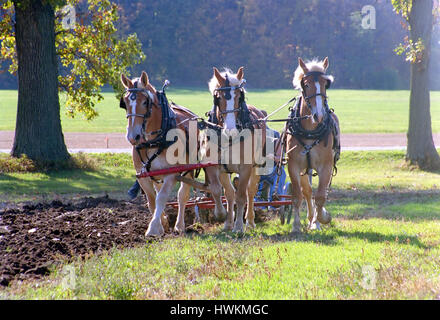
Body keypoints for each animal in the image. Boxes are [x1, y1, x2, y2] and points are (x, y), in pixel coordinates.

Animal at [286, 57, 340, 232]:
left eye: (325, 84)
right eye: (306, 84)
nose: (319, 115)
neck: (310, 130)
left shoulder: (326, 166)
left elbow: (321, 196)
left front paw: (321, 218)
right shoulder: (294, 165)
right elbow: (298, 195)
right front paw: (296, 226)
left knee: (319, 192)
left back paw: (315, 220)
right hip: (305, 169)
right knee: (307, 191)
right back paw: (310, 219)